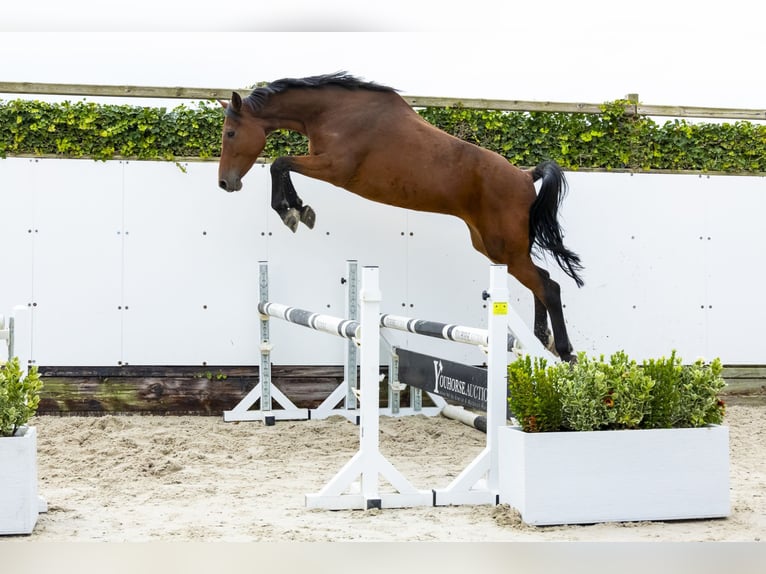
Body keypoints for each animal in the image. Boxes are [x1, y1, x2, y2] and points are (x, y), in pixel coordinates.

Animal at [219, 72, 584, 362]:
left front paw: (293, 211)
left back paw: (565, 352)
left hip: (504, 248)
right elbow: (282, 165)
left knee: (548, 287)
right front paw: (297, 209)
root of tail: (525, 175)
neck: (334, 112)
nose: (225, 183)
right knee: (542, 282)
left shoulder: (334, 168)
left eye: (231, 134)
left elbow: (280, 162)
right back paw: (543, 341)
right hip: (495, 248)